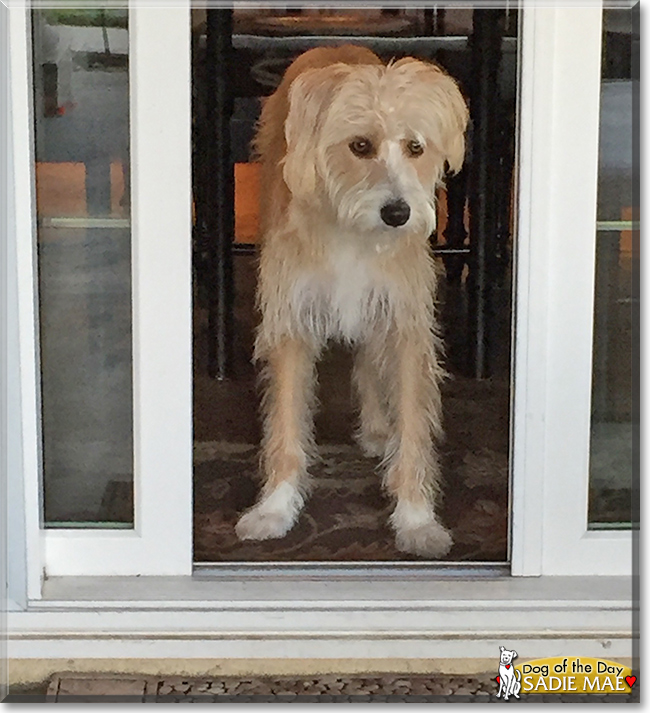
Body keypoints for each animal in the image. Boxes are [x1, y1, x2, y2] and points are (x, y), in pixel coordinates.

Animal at [233, 46, 466, 556]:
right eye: (360, 146)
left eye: (416, 148)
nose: (398, 213)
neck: (353, 231)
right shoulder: (292, 322)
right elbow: (286, 426)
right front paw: (274, 508)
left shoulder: (404, 323)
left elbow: (413, 429)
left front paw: (416, 519)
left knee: (367, 359)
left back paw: (379, 428)